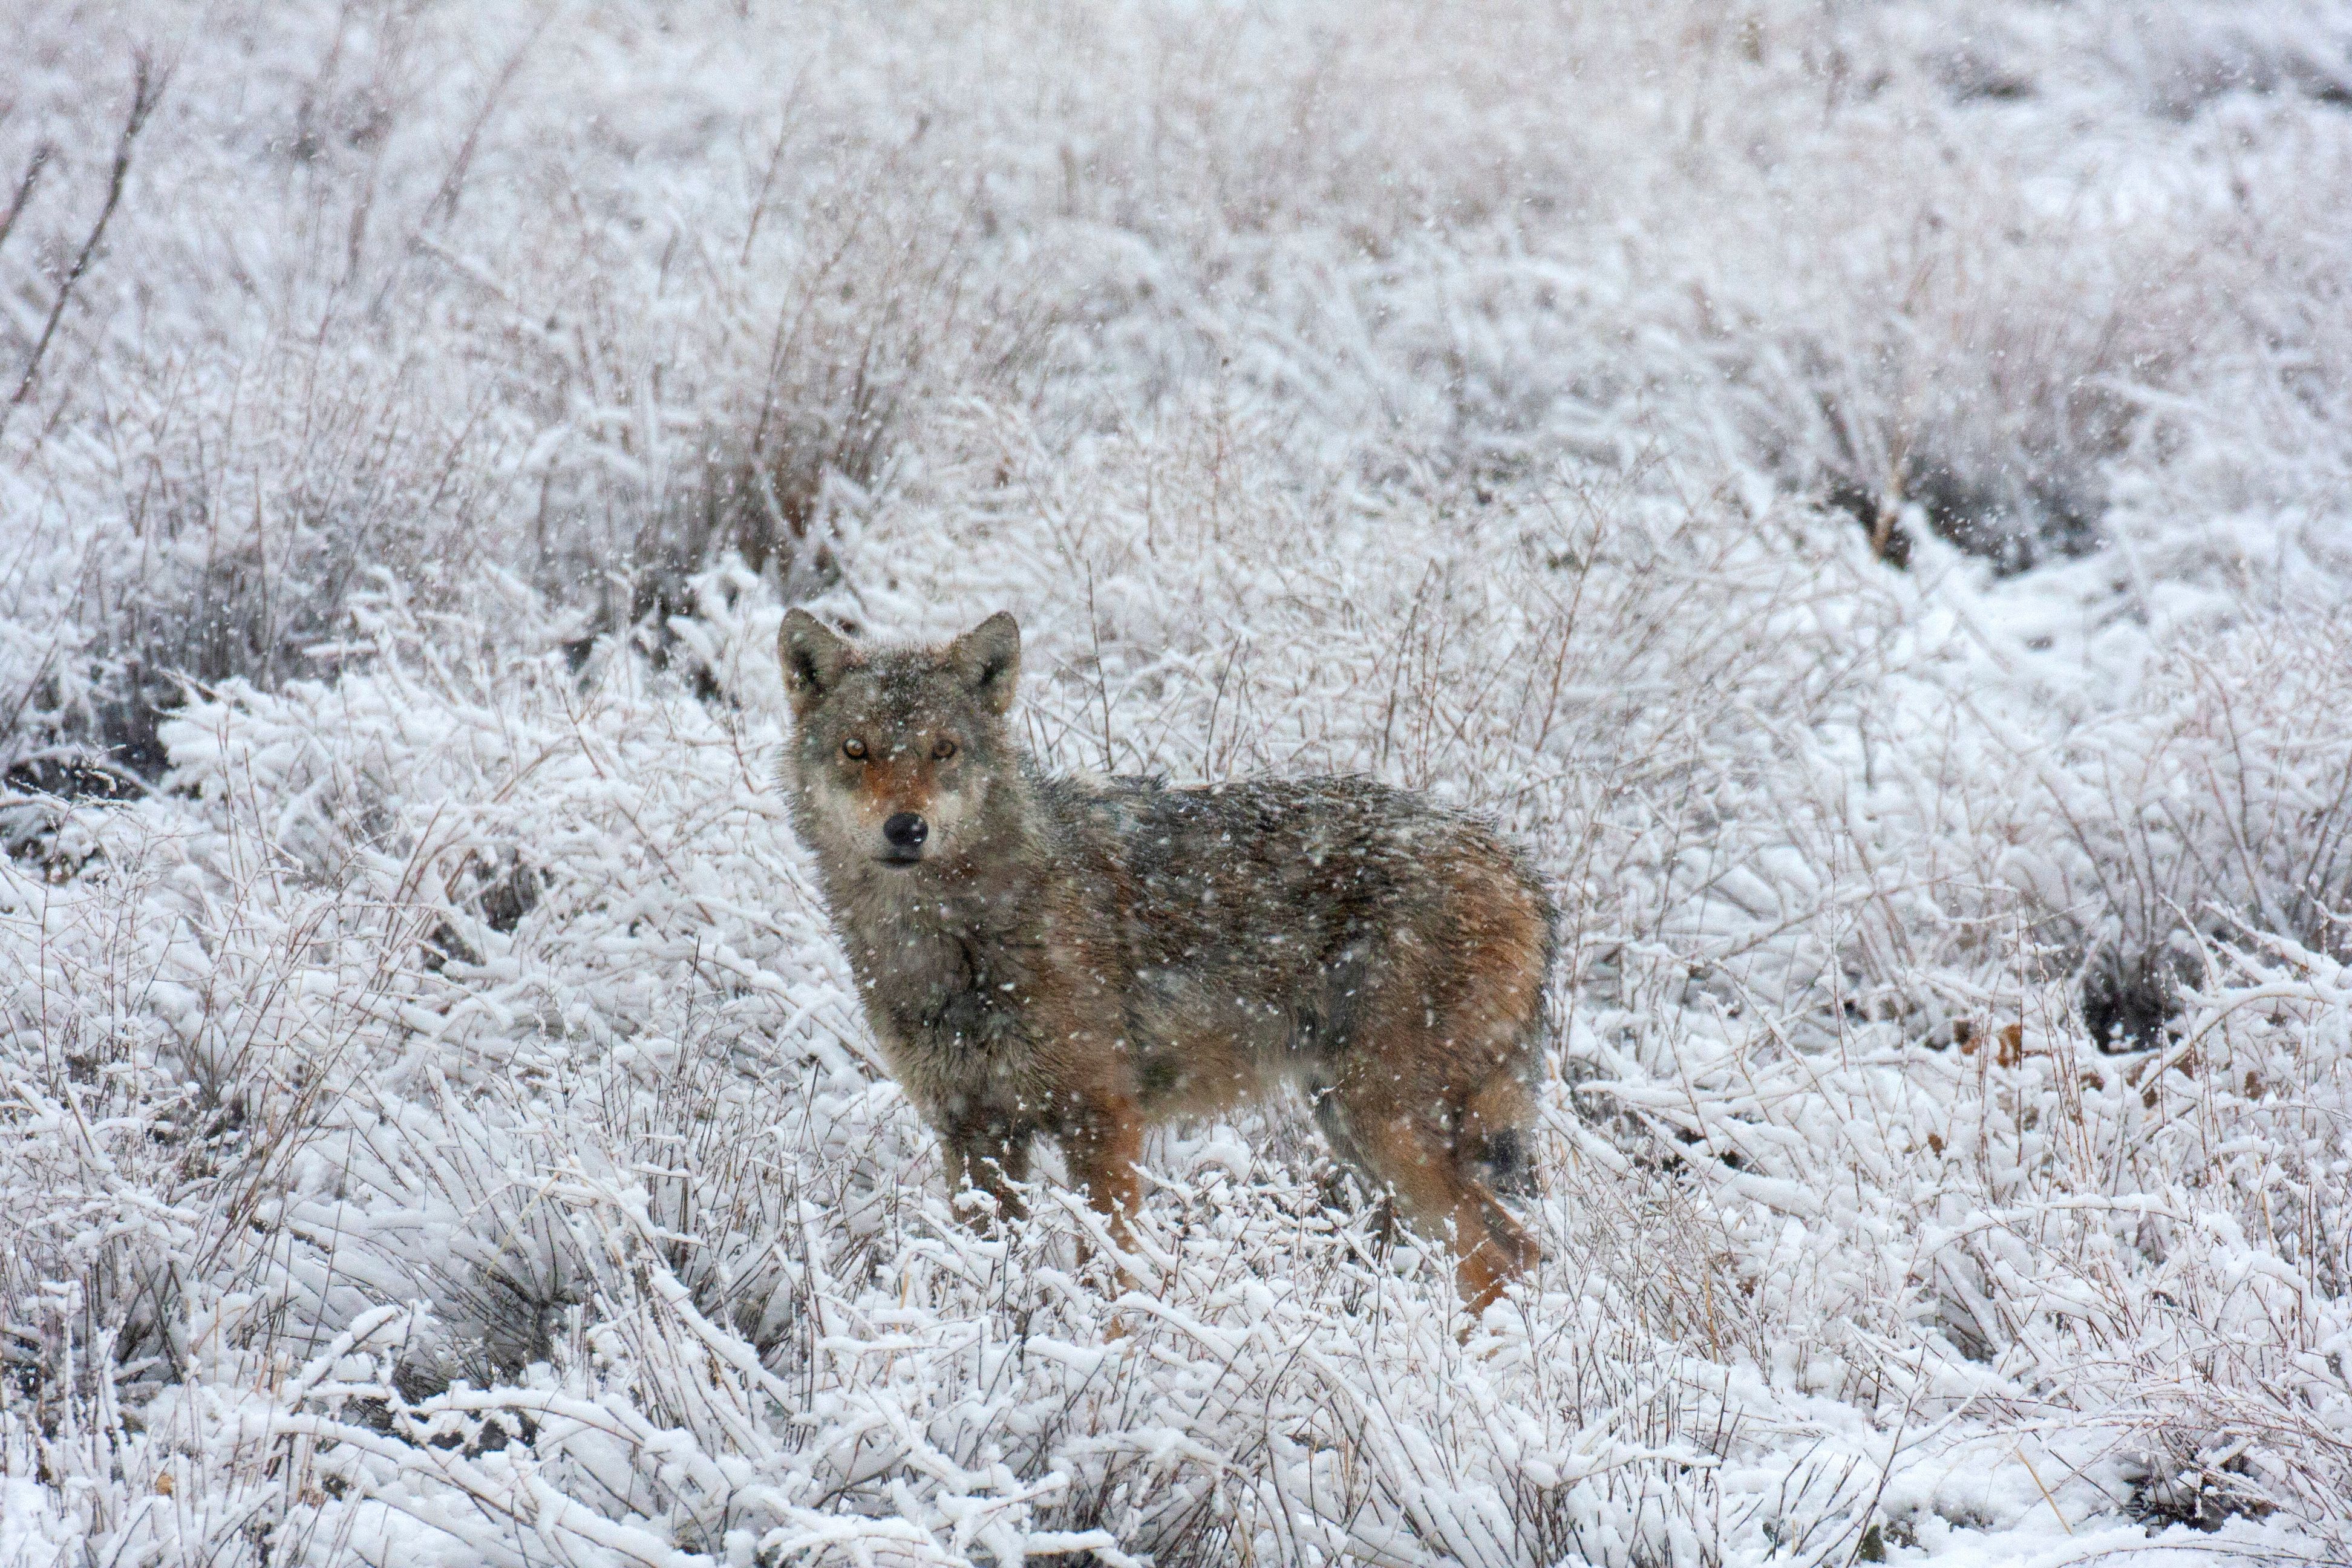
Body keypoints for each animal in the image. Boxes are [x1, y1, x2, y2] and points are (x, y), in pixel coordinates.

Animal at [777, 608, 1554, 1313]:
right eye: (856, 750)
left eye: (943, 750)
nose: (906, 829)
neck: (952, 934)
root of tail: (1513, 859)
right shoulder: (973, 1133)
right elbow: (984, 1266)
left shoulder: (1102, 1120)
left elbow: (1110, 1272)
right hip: (1349, 1128)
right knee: (1516, 1249)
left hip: (1383, 1126)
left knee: (1499, 1259)